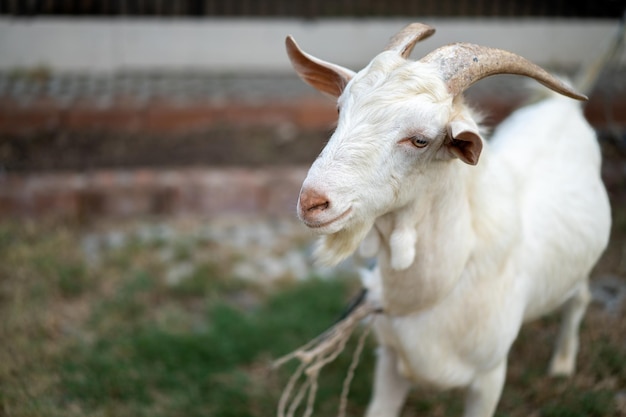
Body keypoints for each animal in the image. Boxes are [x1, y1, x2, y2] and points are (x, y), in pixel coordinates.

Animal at [286, 23, 608, 416]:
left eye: (420, 140)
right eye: (339, 108)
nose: (312, 201)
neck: (443, 284)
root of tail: (562, 110)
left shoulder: (489, 378)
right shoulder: (390, 359)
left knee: (580, 297)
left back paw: (562, 364)